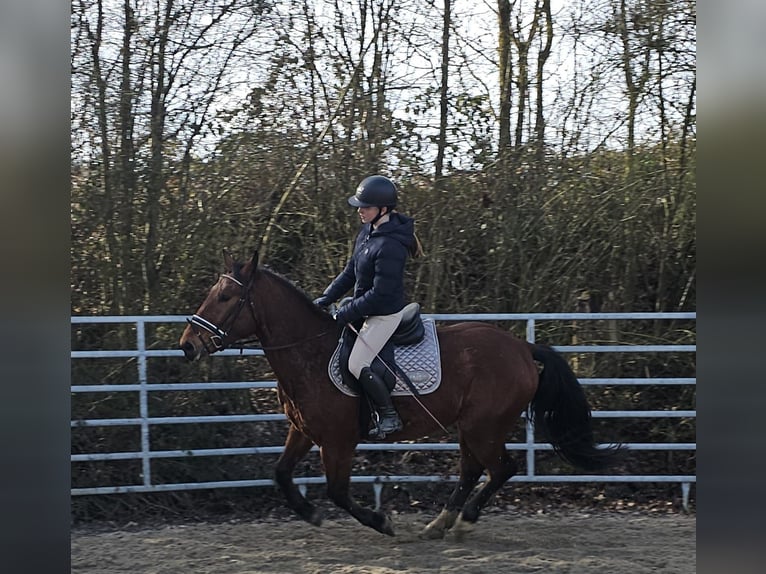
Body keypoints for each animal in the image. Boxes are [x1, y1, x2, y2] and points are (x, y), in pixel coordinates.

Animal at [180, 251, 624, 540]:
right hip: (470, 427)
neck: (309, 352)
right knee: (472, 470)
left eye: (225, 298)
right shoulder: (303, 432)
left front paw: (380, 522)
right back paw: (440, 524)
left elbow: (337, 491)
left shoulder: (338, 442)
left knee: (500, 469)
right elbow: (282, 473)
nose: (187, 346)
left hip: (484, 427)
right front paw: (310, 514)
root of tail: (522, 347)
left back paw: (463, 521)